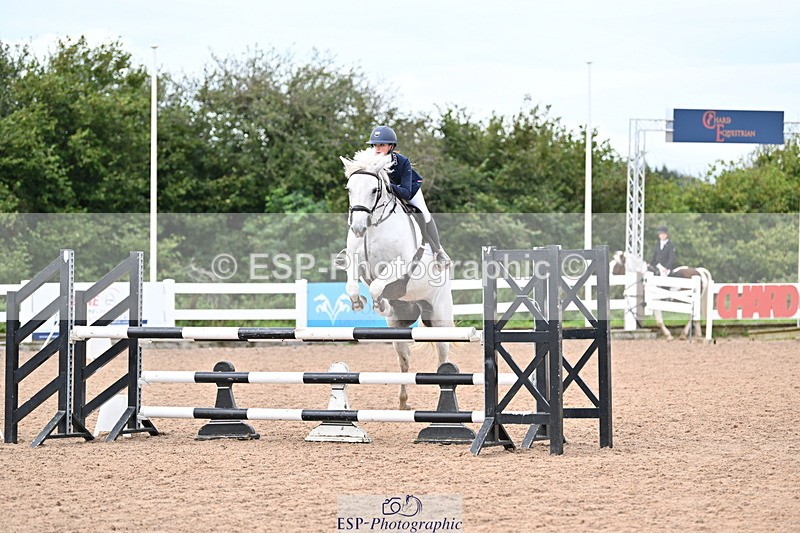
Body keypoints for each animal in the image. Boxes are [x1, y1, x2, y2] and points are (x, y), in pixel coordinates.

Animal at [339, 149, 455, 409]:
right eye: (349, 189)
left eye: (374, 190)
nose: (358, 228)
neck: (374, 226)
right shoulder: (356, 263)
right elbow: (353, 285)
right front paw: (358, 302)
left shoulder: (399, 265)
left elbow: (378, 285)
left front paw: (379, 303)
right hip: (398, 325)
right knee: (404, 361)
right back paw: (403, 404)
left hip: (440, 318)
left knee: (443, 358)